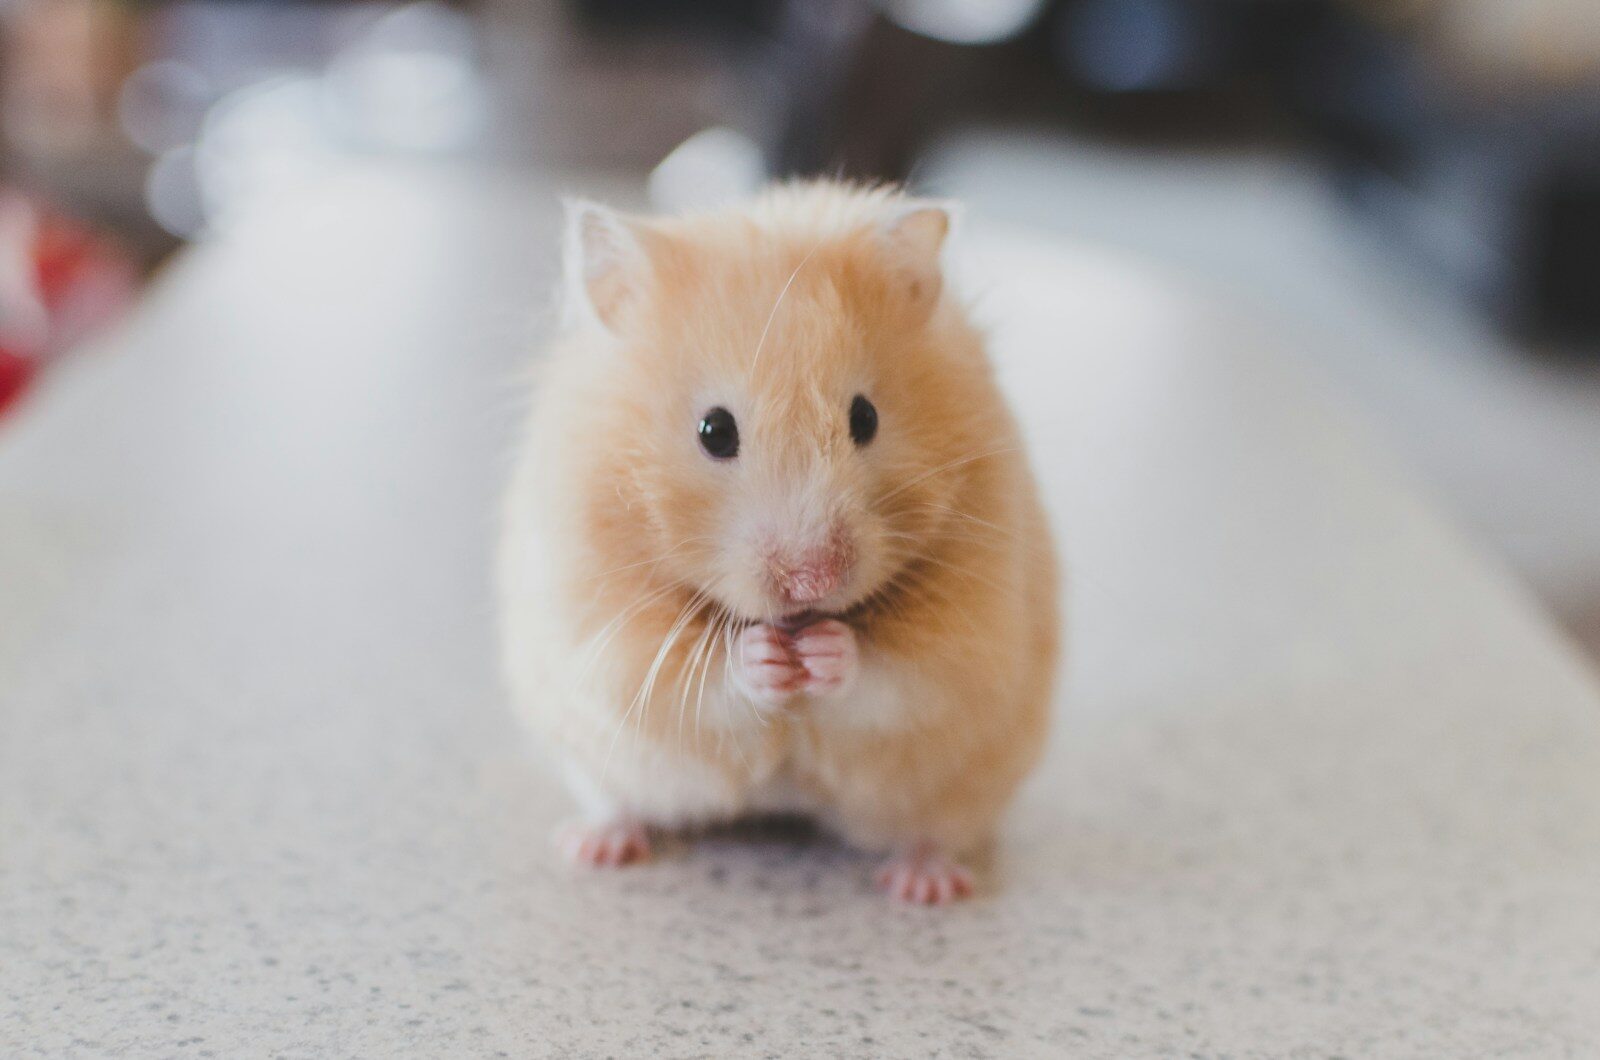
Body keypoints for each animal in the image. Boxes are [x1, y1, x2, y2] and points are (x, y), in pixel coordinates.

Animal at [498, 181, 1059, 904]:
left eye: (865, 418)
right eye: (714, 431)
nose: (812, 581)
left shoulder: (971, 636)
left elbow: (897, 677)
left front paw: (824, 652)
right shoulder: (604, 632)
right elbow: (697, 678)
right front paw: (766, 657)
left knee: (934, 830)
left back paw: (924, 885)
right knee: (617, 801)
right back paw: (594, 847)